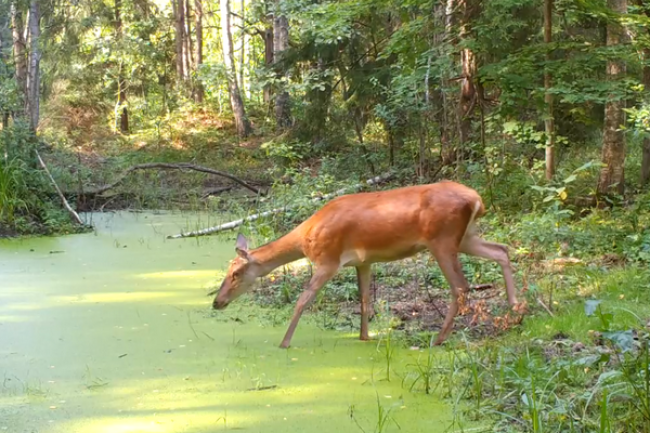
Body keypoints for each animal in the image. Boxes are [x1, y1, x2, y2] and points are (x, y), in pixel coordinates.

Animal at [213, 179, 520, 348]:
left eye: (236, 272)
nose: (217, 302)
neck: (305, 239)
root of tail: (477, 199)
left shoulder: (328, 261)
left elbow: (303, 299)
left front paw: (284, 342)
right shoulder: (363, 262)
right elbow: (364, 299)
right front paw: (364, 336)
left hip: (442, 240)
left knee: (461, 286)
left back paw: (439, 338)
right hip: (466, 236)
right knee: (502, 250)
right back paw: (515, 311)